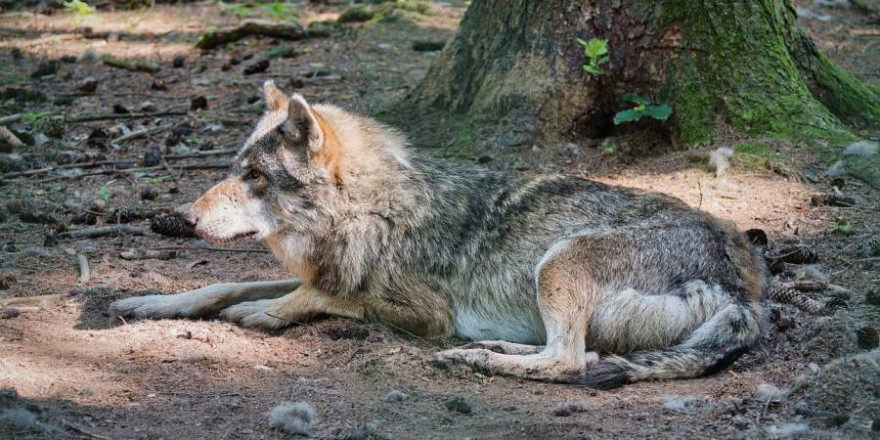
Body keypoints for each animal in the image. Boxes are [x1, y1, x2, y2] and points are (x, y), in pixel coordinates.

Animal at [110, 81, 768, 388]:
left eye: (255, 178)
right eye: (233, 169)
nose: (184, 217)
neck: (369, 212)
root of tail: (747, 285)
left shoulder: (420, 312)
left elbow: (317, 295)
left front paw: (269, 313)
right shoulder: (327, 267)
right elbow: (220, 286)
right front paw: (149, 301)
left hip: (557, 264)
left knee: (568, 362)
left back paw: (474, 357)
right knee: (574, 353)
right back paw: (495, 348)